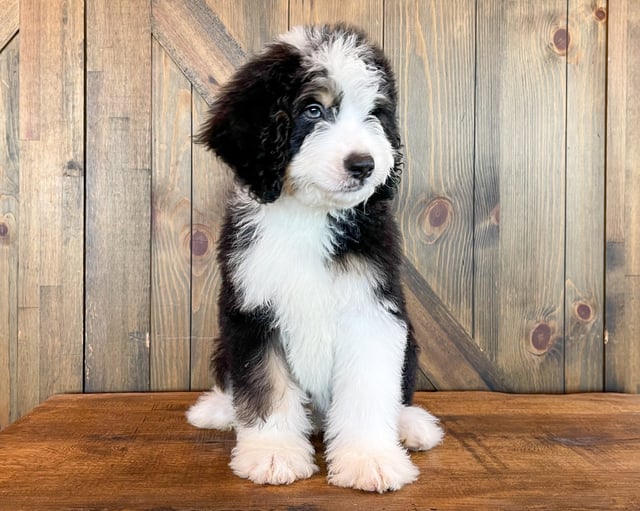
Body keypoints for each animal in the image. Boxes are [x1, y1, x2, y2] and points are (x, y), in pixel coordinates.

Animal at [188, 25, 442, 496]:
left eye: (375, 114)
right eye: (312, 109)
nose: (364, 164)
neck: (309, 214)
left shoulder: (371, 308)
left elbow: (367, 391)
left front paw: (369, 459)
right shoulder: (252, 310)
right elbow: (264, 385)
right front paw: (272, 454)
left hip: (411, 344)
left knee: (399, 396)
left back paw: (411, 425)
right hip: (223, 341)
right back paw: (218, 410)